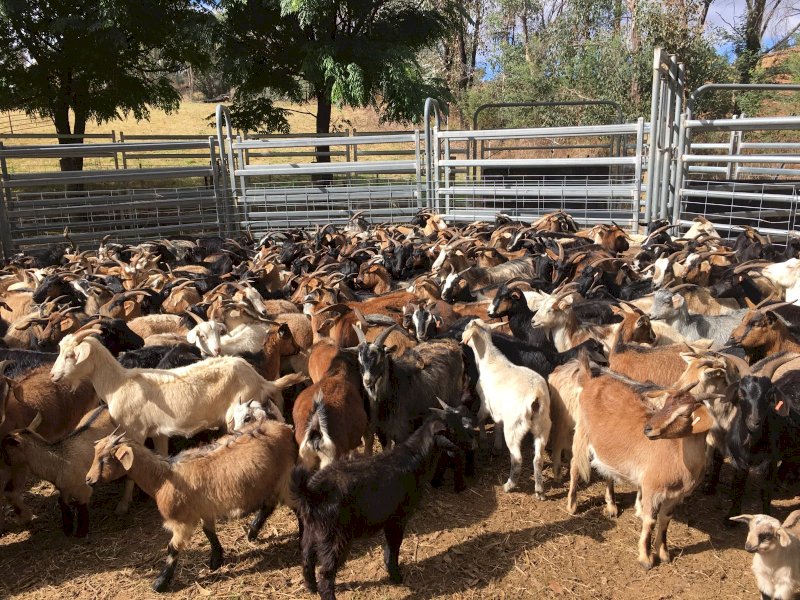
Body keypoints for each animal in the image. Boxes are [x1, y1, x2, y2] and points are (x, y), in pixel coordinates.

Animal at [86, 420, 297, 592]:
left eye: (105, 459)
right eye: (96, 455)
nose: (88, 480)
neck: (162, 478)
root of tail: (285, 427)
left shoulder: (182, 523)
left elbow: (172, 549)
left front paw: (160, 583)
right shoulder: (204, 509)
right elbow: (209, 532)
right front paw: (216, 560)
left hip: (286, 479)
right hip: (270, 482)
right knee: (269, 505)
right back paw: (252, 532)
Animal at [462, 319, 551, 495]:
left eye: (468, 326)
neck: (489, 360)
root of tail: (536, 397)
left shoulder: (485, 403)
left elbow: (480, 419)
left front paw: (483, 439)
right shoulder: (498, 408)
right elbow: (497, 425)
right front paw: (496, 446)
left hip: (514, 426)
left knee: (517, 459)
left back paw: (509, 485)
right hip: (543, 425)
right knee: (538, 458)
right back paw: (539, 490)